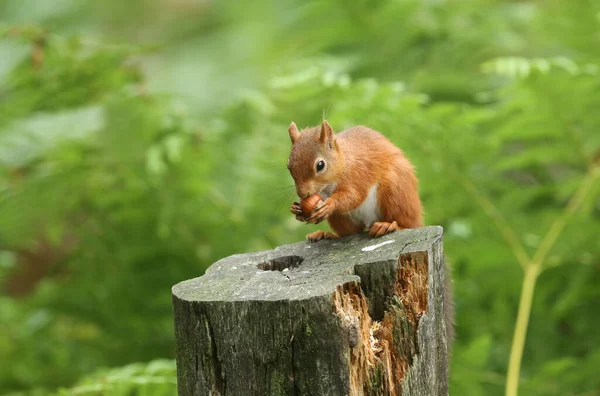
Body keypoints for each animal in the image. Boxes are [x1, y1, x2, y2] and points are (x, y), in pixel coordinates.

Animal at [290, 119, 422, 243]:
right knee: (351, 232)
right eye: (289, 166)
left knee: (407, 224)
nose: (302, 194)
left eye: (320, 165)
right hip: (341, 218)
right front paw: (296, 209)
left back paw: (388, 226)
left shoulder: (356, 174)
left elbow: (354, 196)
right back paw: (325, 234)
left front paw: (329, 204)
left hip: (396, 191)